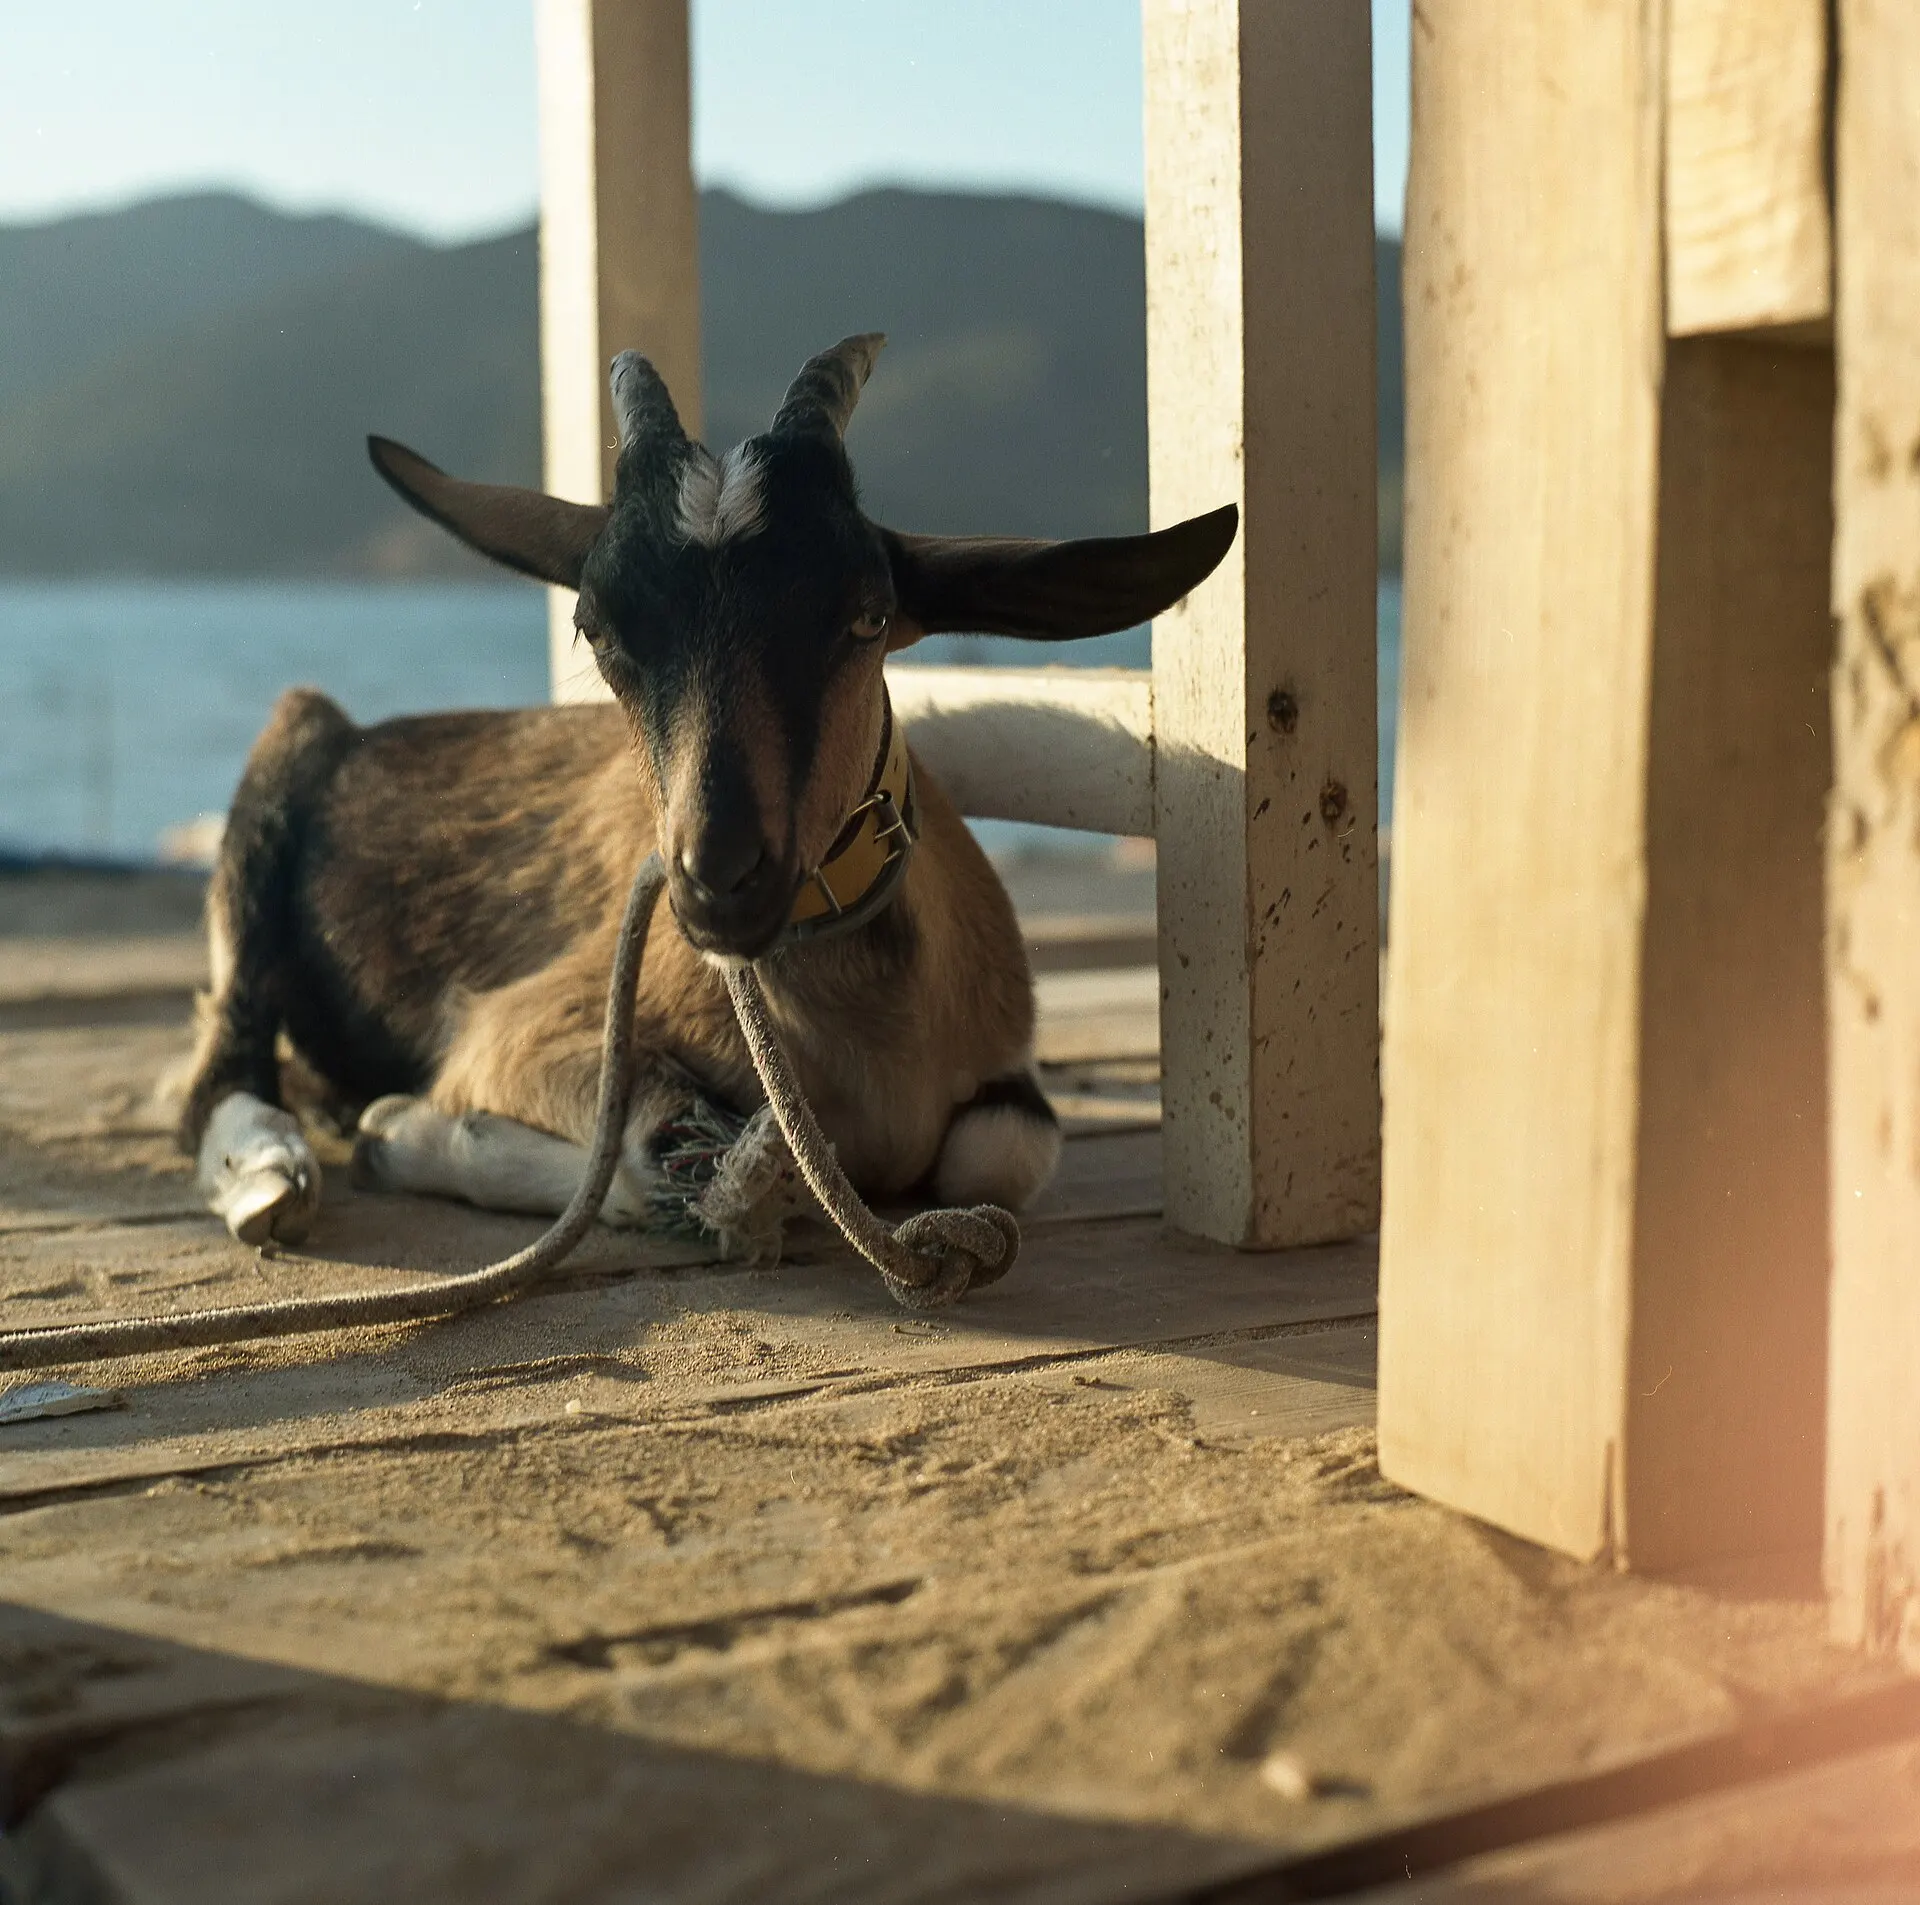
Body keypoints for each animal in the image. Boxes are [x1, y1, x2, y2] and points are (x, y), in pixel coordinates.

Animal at [177, 336, 1237, 1257]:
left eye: (869, 614)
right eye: (595, 625)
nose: (718, 878)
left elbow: (1003, 1152)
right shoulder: (528, 1030)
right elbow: (660, 1153)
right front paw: (406, 1130)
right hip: (272, 791)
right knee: (224, 1060)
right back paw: (273, 1171)